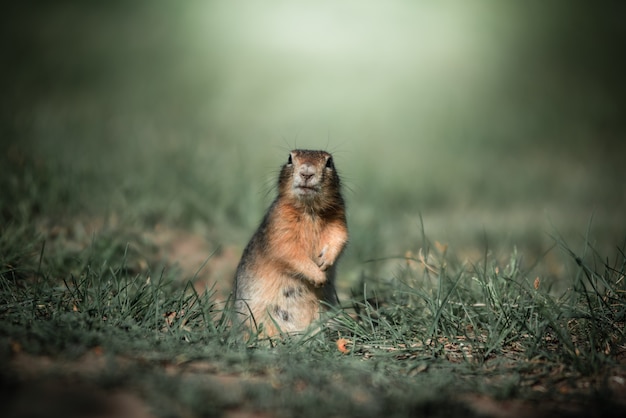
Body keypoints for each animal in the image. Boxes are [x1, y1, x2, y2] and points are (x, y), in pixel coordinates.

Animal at [233, 149, 348, 336]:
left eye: (329, 162)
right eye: (289, 159)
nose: (307, 172)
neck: (309, 210)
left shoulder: (338, 218)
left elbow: (338, 237)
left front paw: (325, 261)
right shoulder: (280, 223)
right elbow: (288, 251)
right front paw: (319, 277)